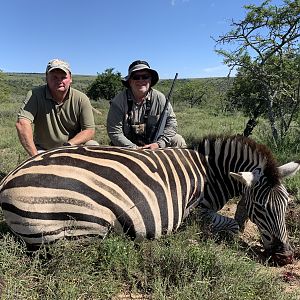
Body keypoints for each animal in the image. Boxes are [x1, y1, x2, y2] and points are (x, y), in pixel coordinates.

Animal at [0, 135, 298, 264]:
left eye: (286, 205)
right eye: (260, 207)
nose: (285, 257)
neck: (210, 174)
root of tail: (8, 179)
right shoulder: (196, 212)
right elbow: (232, 225)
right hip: (84, 225)